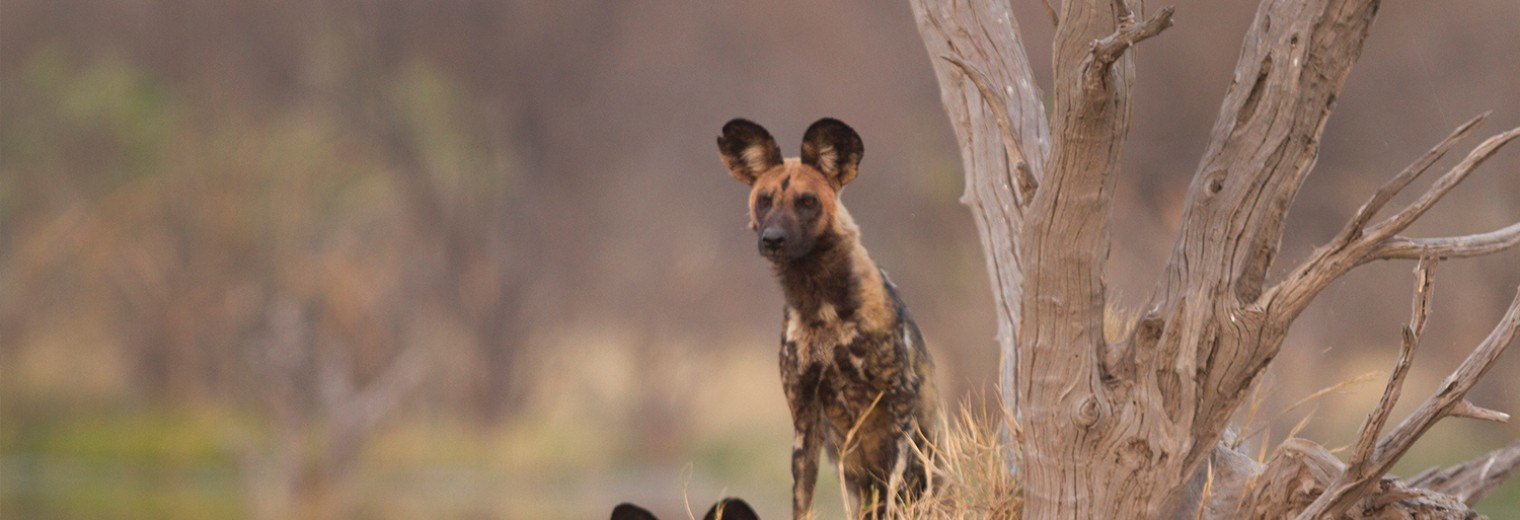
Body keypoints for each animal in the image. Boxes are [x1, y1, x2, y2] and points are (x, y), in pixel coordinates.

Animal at [711, 118, 936, 520]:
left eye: (807, 202)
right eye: (764, 200)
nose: (772, 239)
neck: (821, 303)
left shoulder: (900, 403)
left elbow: (894, 492)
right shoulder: (804, 418)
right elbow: (802, 502)